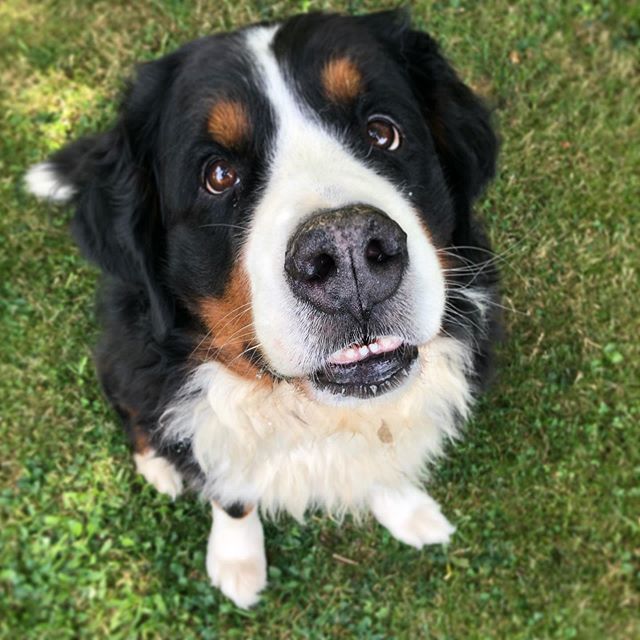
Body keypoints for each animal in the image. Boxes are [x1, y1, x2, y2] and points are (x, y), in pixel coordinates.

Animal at [26, 11, 500, 608]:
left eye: (382, 132)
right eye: (218, 175)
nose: (347, 249)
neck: (306, 411)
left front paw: (408, 509)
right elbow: (231, 493)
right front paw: (237, 560)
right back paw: (158, 466)